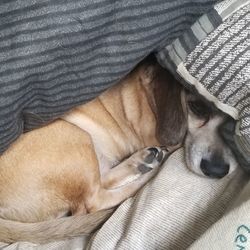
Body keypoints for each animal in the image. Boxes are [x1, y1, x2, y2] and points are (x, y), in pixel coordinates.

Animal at [0, 57, 237, 243]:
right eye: (197, 107)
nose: (217, 170)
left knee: (102, 182)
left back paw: (142, 162)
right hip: (74, 135)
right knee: (94, 201)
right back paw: (146, 177)